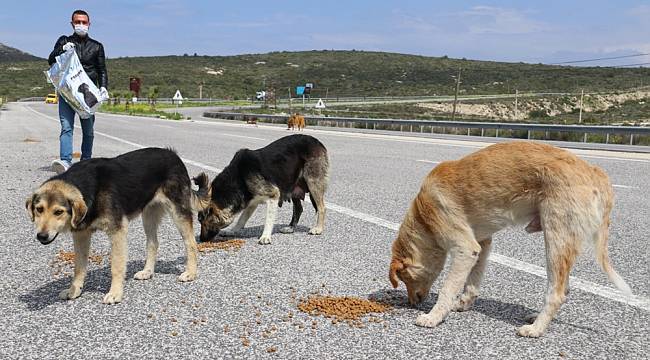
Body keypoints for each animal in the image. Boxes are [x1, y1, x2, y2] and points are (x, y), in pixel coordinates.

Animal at [26, 148, 205, 304]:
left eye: (58, 212)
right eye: (39, 209)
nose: (41, 236)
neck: (90, 189)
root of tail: (173, 154)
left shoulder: (117, 231)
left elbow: (116, 266)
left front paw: (115, 293)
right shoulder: (81, 234)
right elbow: (79, 267)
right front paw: (74, 290)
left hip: (178, 212)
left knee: (190, 243)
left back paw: (190, 273)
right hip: (148, 214)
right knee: (153, 243)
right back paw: (147, 271)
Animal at [194, 134, 326, 245]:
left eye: (201, 221)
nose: (201, 239)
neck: (238, 178)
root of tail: (317, 141)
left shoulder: (273, 194)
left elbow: (268, 219)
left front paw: (265, 236)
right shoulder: (252, 202)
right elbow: (242, 219)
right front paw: (233, 231)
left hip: (313, 183)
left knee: (321, 207)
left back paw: (318, 229)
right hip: (293, 185)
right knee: (298, 208)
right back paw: (290, 228)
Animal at [388, 141, 632, 338]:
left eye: (405, 279)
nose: (411, 304)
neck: (423, 216)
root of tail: (595, 172)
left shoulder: (465, 248)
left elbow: (448, 289)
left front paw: (433, 317)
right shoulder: (482, 244)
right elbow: (472, 283)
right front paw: (463, 304)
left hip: (556, 238)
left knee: (556, 293)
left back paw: (536, 329)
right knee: (565, 288)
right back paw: (537, 318)